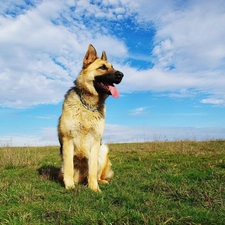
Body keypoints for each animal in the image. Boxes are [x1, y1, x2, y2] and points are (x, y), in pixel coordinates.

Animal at [58, 44, 124, 192]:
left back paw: (100, 182)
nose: (121, 75)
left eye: (113, 67)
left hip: (102, 150)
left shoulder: (95, 142)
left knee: (97, 175)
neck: (88, 105)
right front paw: (69, 186)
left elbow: (93, 170)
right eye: (102, 67)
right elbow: (69, 168)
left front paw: (94, 188)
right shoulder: (68, 140)